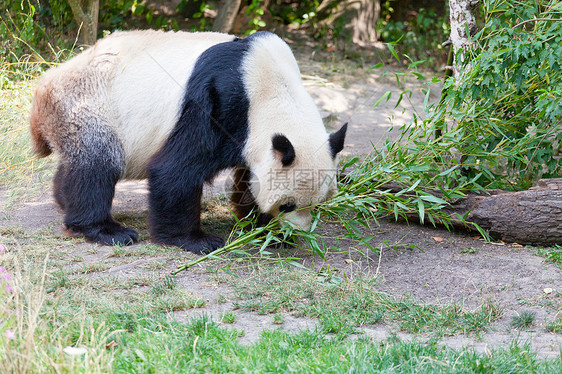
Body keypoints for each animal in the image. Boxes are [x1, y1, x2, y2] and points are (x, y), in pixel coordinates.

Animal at [30, 30, 348, 254]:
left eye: (320, 203)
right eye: (287, 205)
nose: (297, 232)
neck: (276, 92)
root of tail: (45, 85)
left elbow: (248, 180)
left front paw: (264, 230)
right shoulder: (221, 100)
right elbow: (176, 169)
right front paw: (196, 240)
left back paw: (63, 199)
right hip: (88, 104)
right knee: (97, 164)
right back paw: (106, 230)